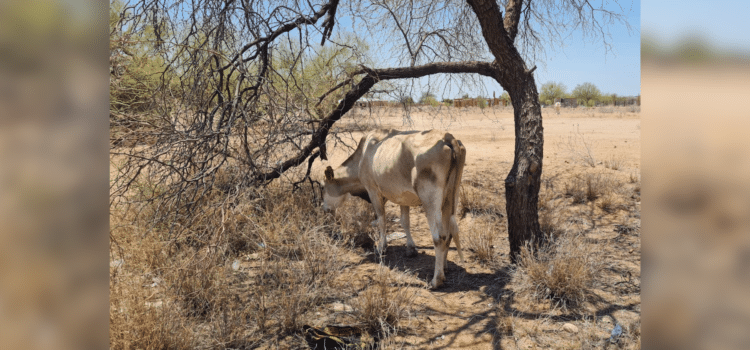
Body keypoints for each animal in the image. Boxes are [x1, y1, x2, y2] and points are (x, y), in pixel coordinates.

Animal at [322, 130, 468, 288]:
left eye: (323, 187)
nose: (324, 208)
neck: (362, 156)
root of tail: (447, 137)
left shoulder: (373, 191)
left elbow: (381, 220)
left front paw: (381, 247)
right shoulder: (403, 197)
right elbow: (405, 222)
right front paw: (410, 249)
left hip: (430, 200)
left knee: (439, 237)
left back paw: (437, 280)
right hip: (450, 199)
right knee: (448, 233)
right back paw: (444, 268)